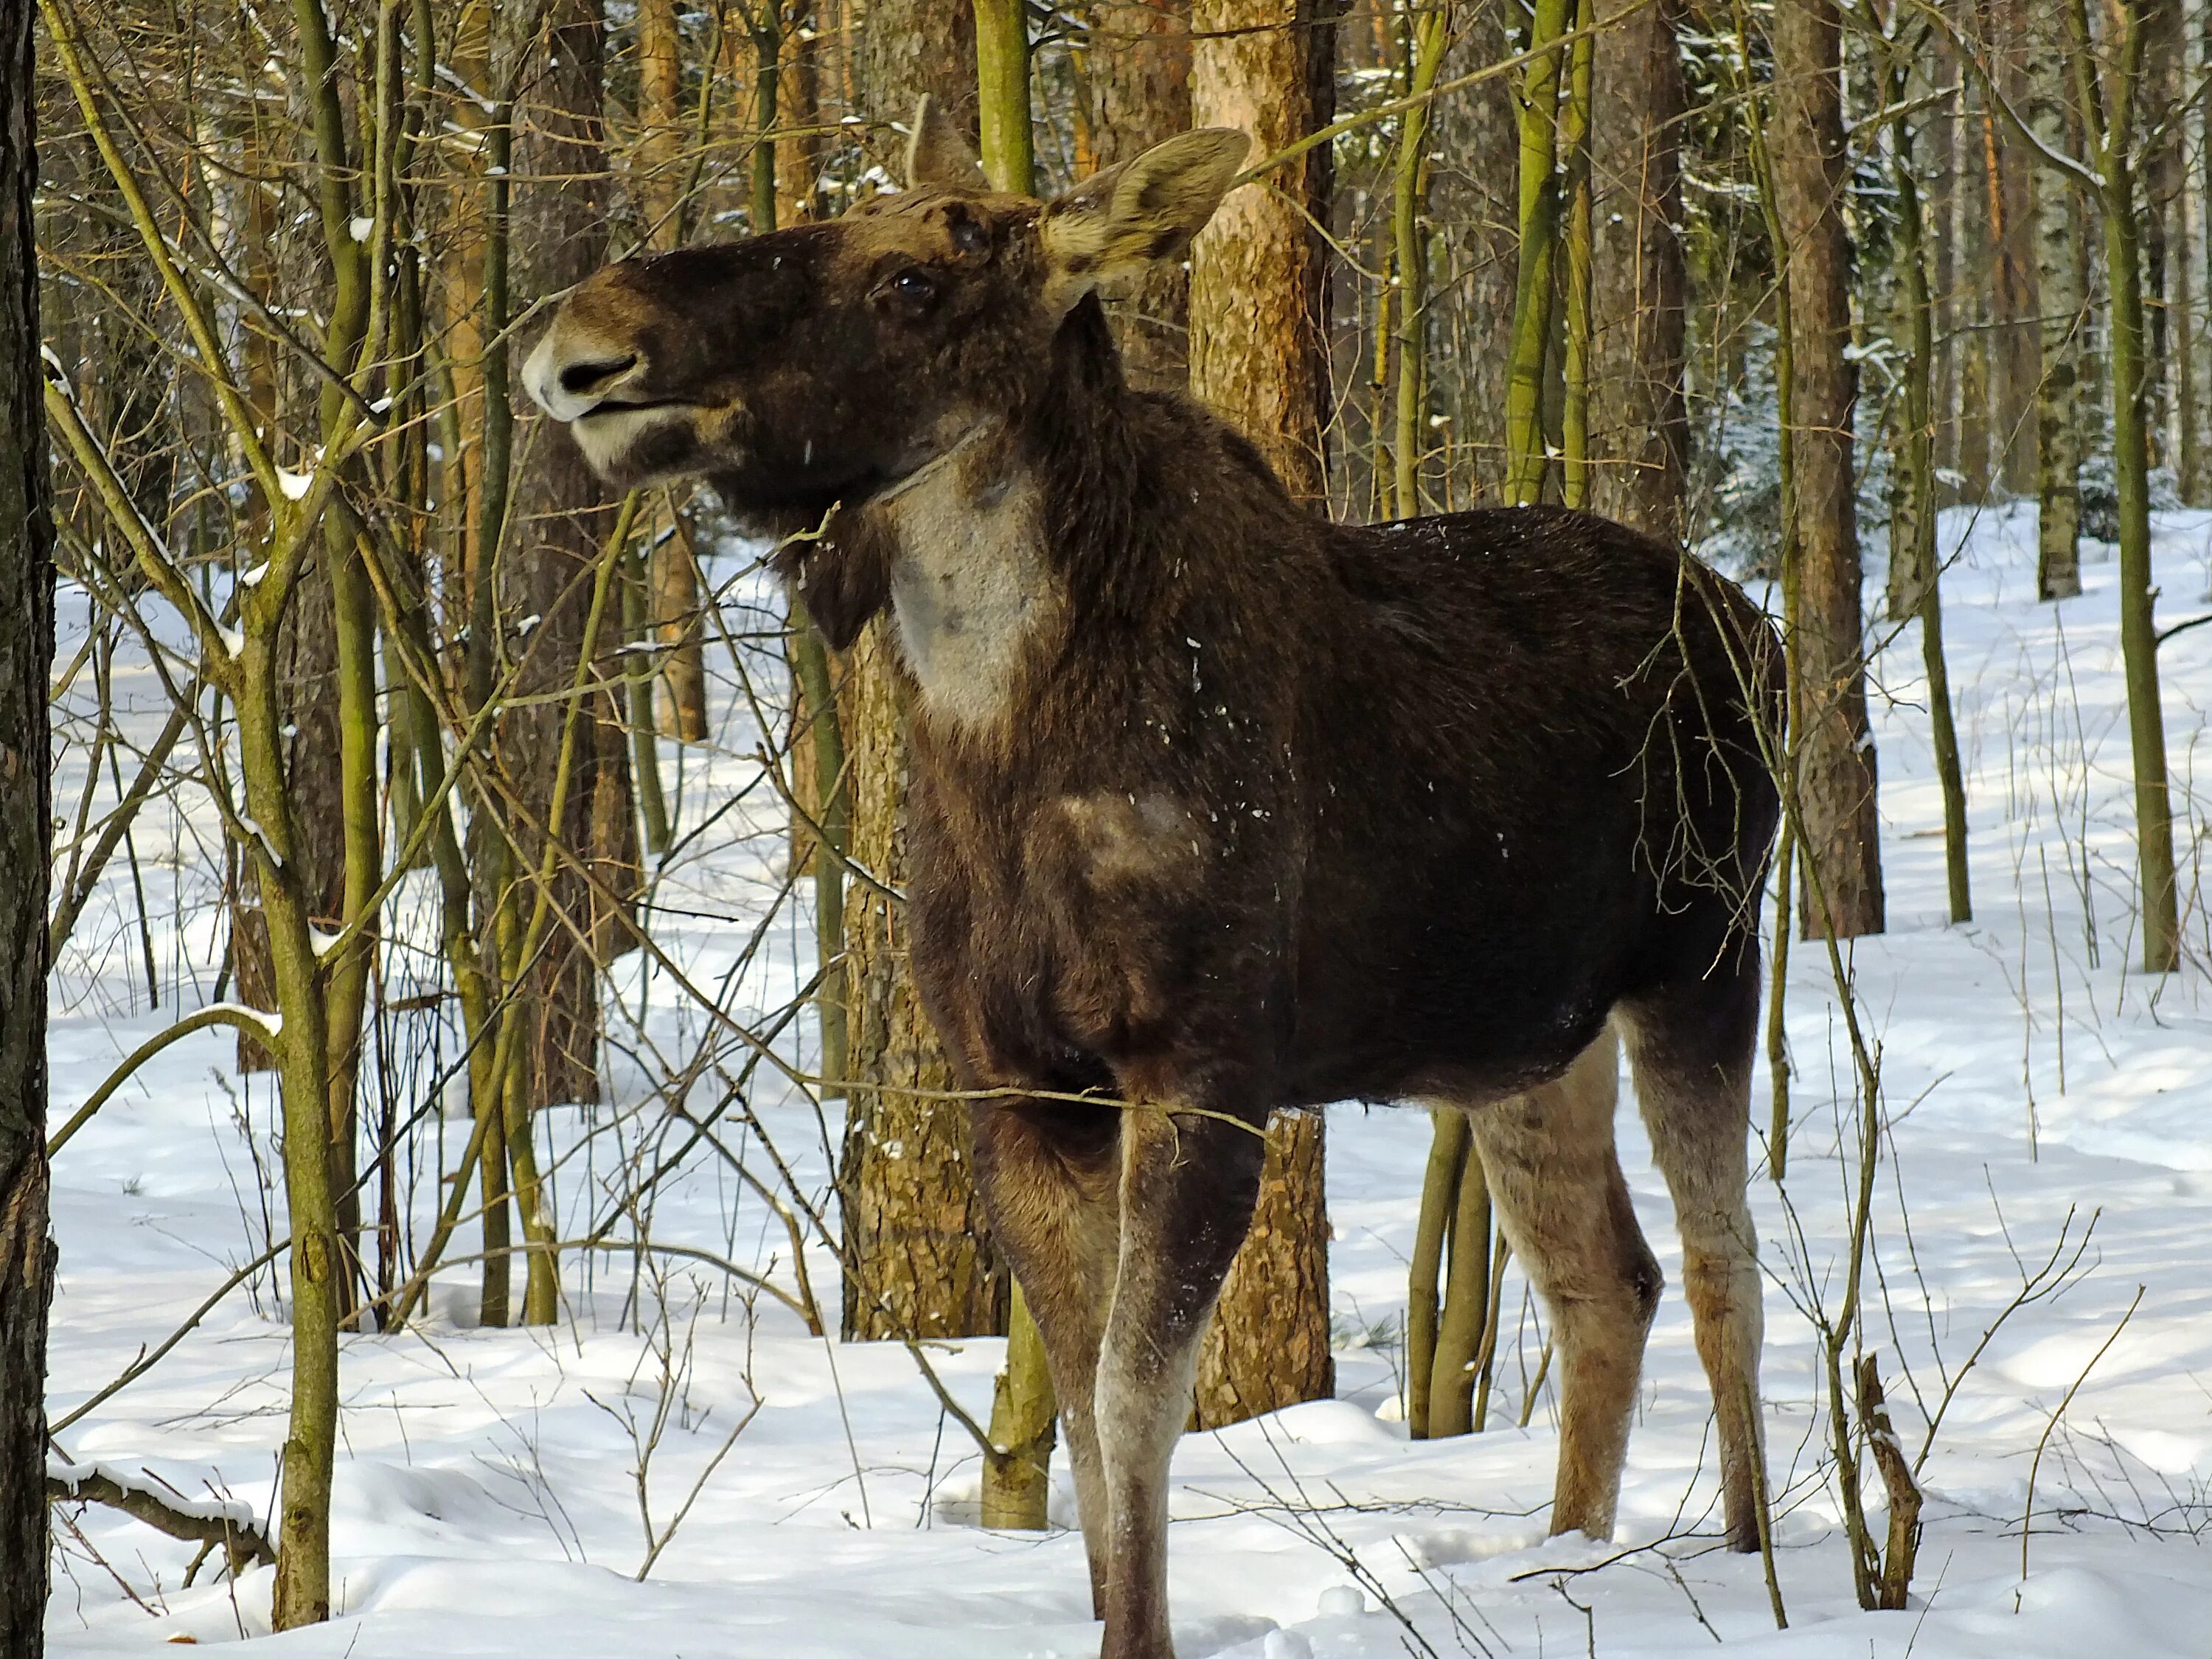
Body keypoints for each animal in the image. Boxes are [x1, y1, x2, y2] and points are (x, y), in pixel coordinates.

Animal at [526, 104, 1787, 1659]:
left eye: (911, 281)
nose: (588, 343)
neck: (1003, 733)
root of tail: (1761, 631)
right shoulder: (1021, 1082)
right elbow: (1075, 1407)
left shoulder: (1205, 1067)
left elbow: (1137, 1396)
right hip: (1520, 1046)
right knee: (1605, 1281)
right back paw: (1563, 1559)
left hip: (1704, 961)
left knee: (1726, 1266)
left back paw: (1758, 1569)